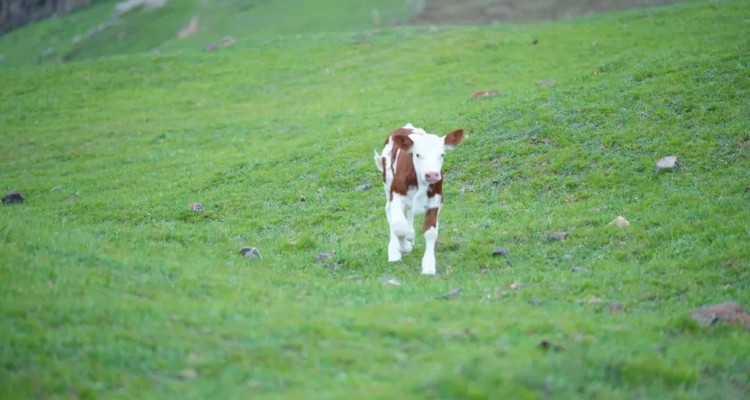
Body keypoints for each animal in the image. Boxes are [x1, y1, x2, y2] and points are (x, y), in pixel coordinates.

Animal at [374, 123, 464, 276]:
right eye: (417, 154)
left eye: (442, 154)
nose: (432, 174)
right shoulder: (396, 193)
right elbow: (399, 226)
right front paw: (403, 247)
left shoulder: (436, 201)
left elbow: (430, 232)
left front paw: (428, 265)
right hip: (388, 182)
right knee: (390, 211)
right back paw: (394, 251)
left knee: (409, 212)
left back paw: (410, 233)